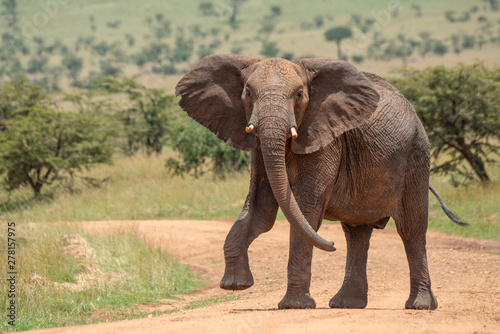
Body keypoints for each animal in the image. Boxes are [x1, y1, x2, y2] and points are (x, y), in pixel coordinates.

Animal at [175, 54, 464, 310]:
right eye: (247, 93)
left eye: (300, 95)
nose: (330, 245)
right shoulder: (259, 146)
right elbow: (260, 211)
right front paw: (235, 285)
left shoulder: (326, 140)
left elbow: (305, 210)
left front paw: (294, 306)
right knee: (357, 233)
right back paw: (346, 304)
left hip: (416, 156)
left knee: (411, 229)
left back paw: (419, 306)